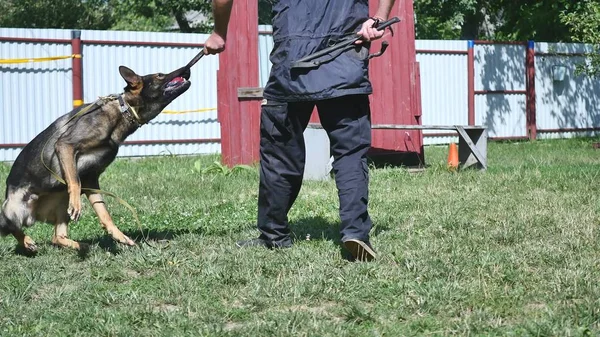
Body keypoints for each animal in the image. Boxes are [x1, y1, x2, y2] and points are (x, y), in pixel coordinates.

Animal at [0, 64, 191, 251]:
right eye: (160, 75)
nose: (187, 70)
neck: (123, 111)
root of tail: (35, 217)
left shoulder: (91, 179)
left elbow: (103, 212)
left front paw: (118, 235)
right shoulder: (65, 146)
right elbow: (74, 182)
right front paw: (77, 205)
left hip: (61, 201)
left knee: (57, 237)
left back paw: (81, 246)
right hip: (13, 209)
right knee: (11, 227)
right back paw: (27, 241)